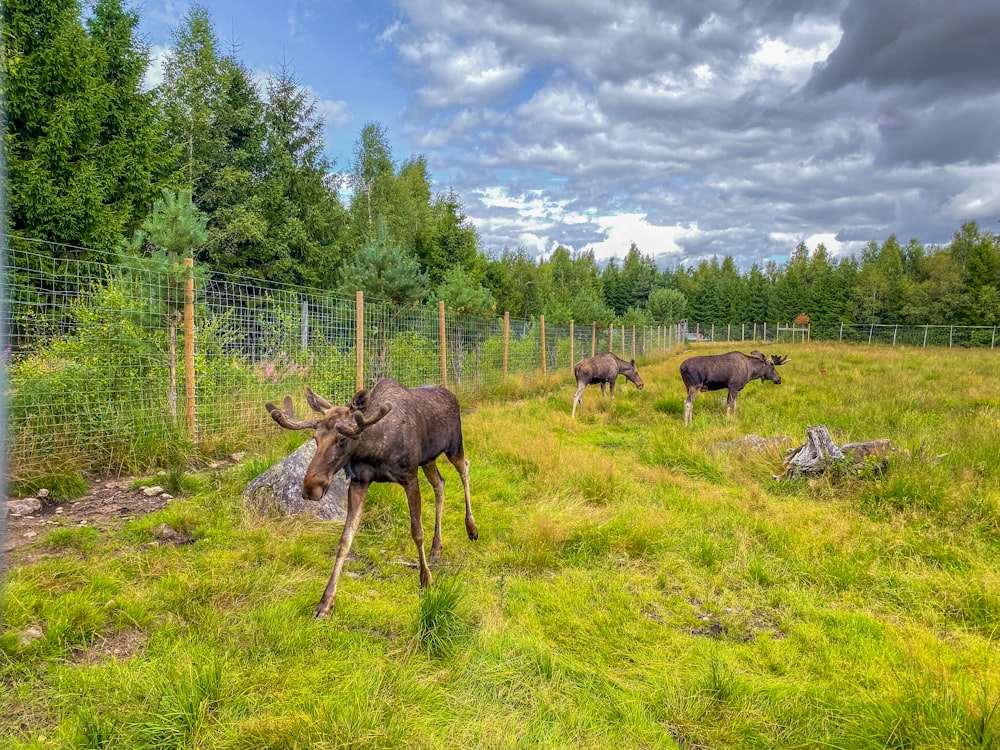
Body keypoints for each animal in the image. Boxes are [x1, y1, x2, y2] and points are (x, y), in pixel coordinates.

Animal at [266, 378, 480, 620]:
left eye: (342, 439)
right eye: (315, 438)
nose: (311, 488)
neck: (374, 449)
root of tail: (451, 394)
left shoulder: (409, 476)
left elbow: (417, 532)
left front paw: (426, 579)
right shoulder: (359, 481)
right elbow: (345, 540)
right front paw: (325, 602)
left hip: (454, 447)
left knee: (465, 469)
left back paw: (471, 528)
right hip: (428, 459)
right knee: (440, 484)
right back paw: (436, 548)